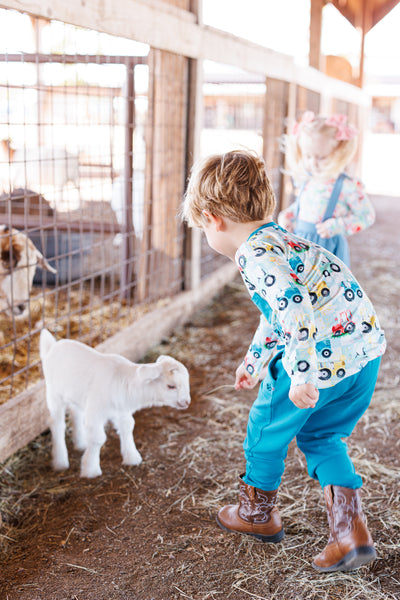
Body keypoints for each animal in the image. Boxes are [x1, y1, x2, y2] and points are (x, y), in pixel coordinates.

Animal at [40, 328, 191, 478]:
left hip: (75, 393)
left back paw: (80, 443)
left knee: (75, 412)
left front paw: (132, 457)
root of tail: (52, 346)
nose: (186, 402)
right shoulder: (95, 412)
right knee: (57, 423)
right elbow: (98, 439)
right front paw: (91, 469)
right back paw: (60, 462)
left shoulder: (122, 410)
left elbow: (128, 427)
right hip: (54, 393)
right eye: (171, 386)